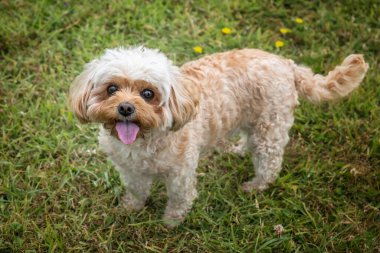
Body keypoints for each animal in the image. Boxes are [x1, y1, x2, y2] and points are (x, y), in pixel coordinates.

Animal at [68, 46, 368, 226]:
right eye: (111, 88)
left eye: (148, 93)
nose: (126, 108)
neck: (145, 139)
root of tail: (287, 63)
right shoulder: (130, 170)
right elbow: (136, 190)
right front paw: (131, 208)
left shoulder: (180, 174)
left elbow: (181, 198)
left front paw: (171, 222)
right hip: (251, 121)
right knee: (248, 141)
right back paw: (237, 151)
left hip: (269, 128)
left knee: (270, 164)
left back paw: (255, 186)